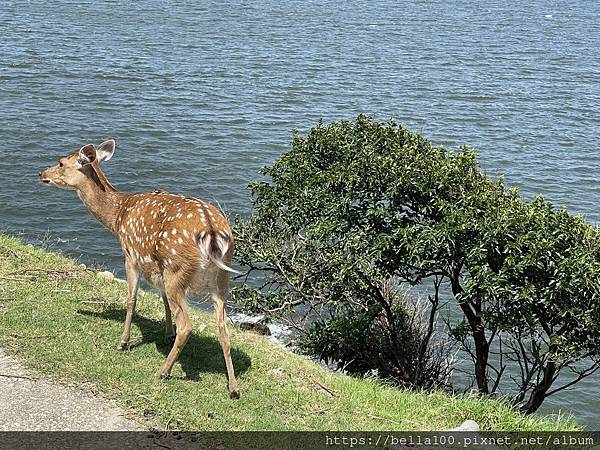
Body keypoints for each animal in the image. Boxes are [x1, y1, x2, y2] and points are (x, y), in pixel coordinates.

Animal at [38, 141, 241, 398]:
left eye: (61, 162)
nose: (41, 174)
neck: (117, 217)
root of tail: (213, 234)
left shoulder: (130, 256)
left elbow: (131, 299)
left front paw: (123, 342)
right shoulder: (158, 269)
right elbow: (163, 301)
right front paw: (167, 333)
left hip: (177, 270)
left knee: (187, 325)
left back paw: (162, 372)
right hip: (221, 280)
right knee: (223, 328)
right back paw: (233, 387)